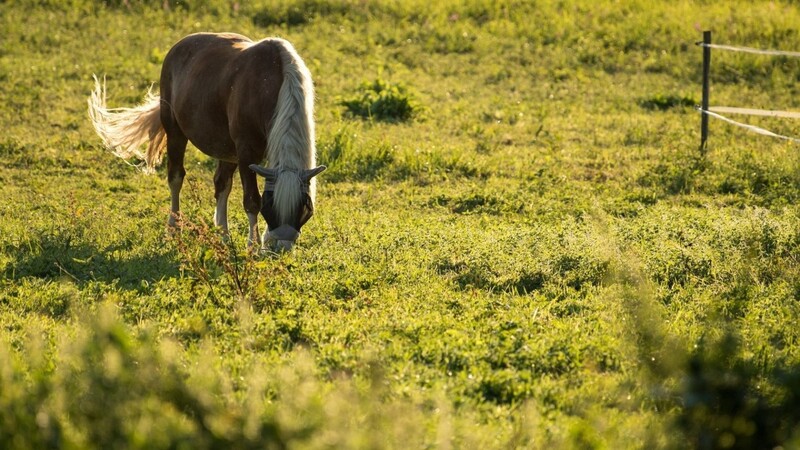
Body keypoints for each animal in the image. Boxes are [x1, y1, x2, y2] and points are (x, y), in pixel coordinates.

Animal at [87, 33, 324, 251]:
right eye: (271, 208)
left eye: (305, 209)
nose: (281, 249)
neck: (271, 85)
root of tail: (180, 45)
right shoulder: (246, 153)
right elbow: (251, 201)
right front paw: (253, 246)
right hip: (176, 132)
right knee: (175, 178)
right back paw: (174, 228)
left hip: (227, 149)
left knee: (221, 184)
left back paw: (224, 236)